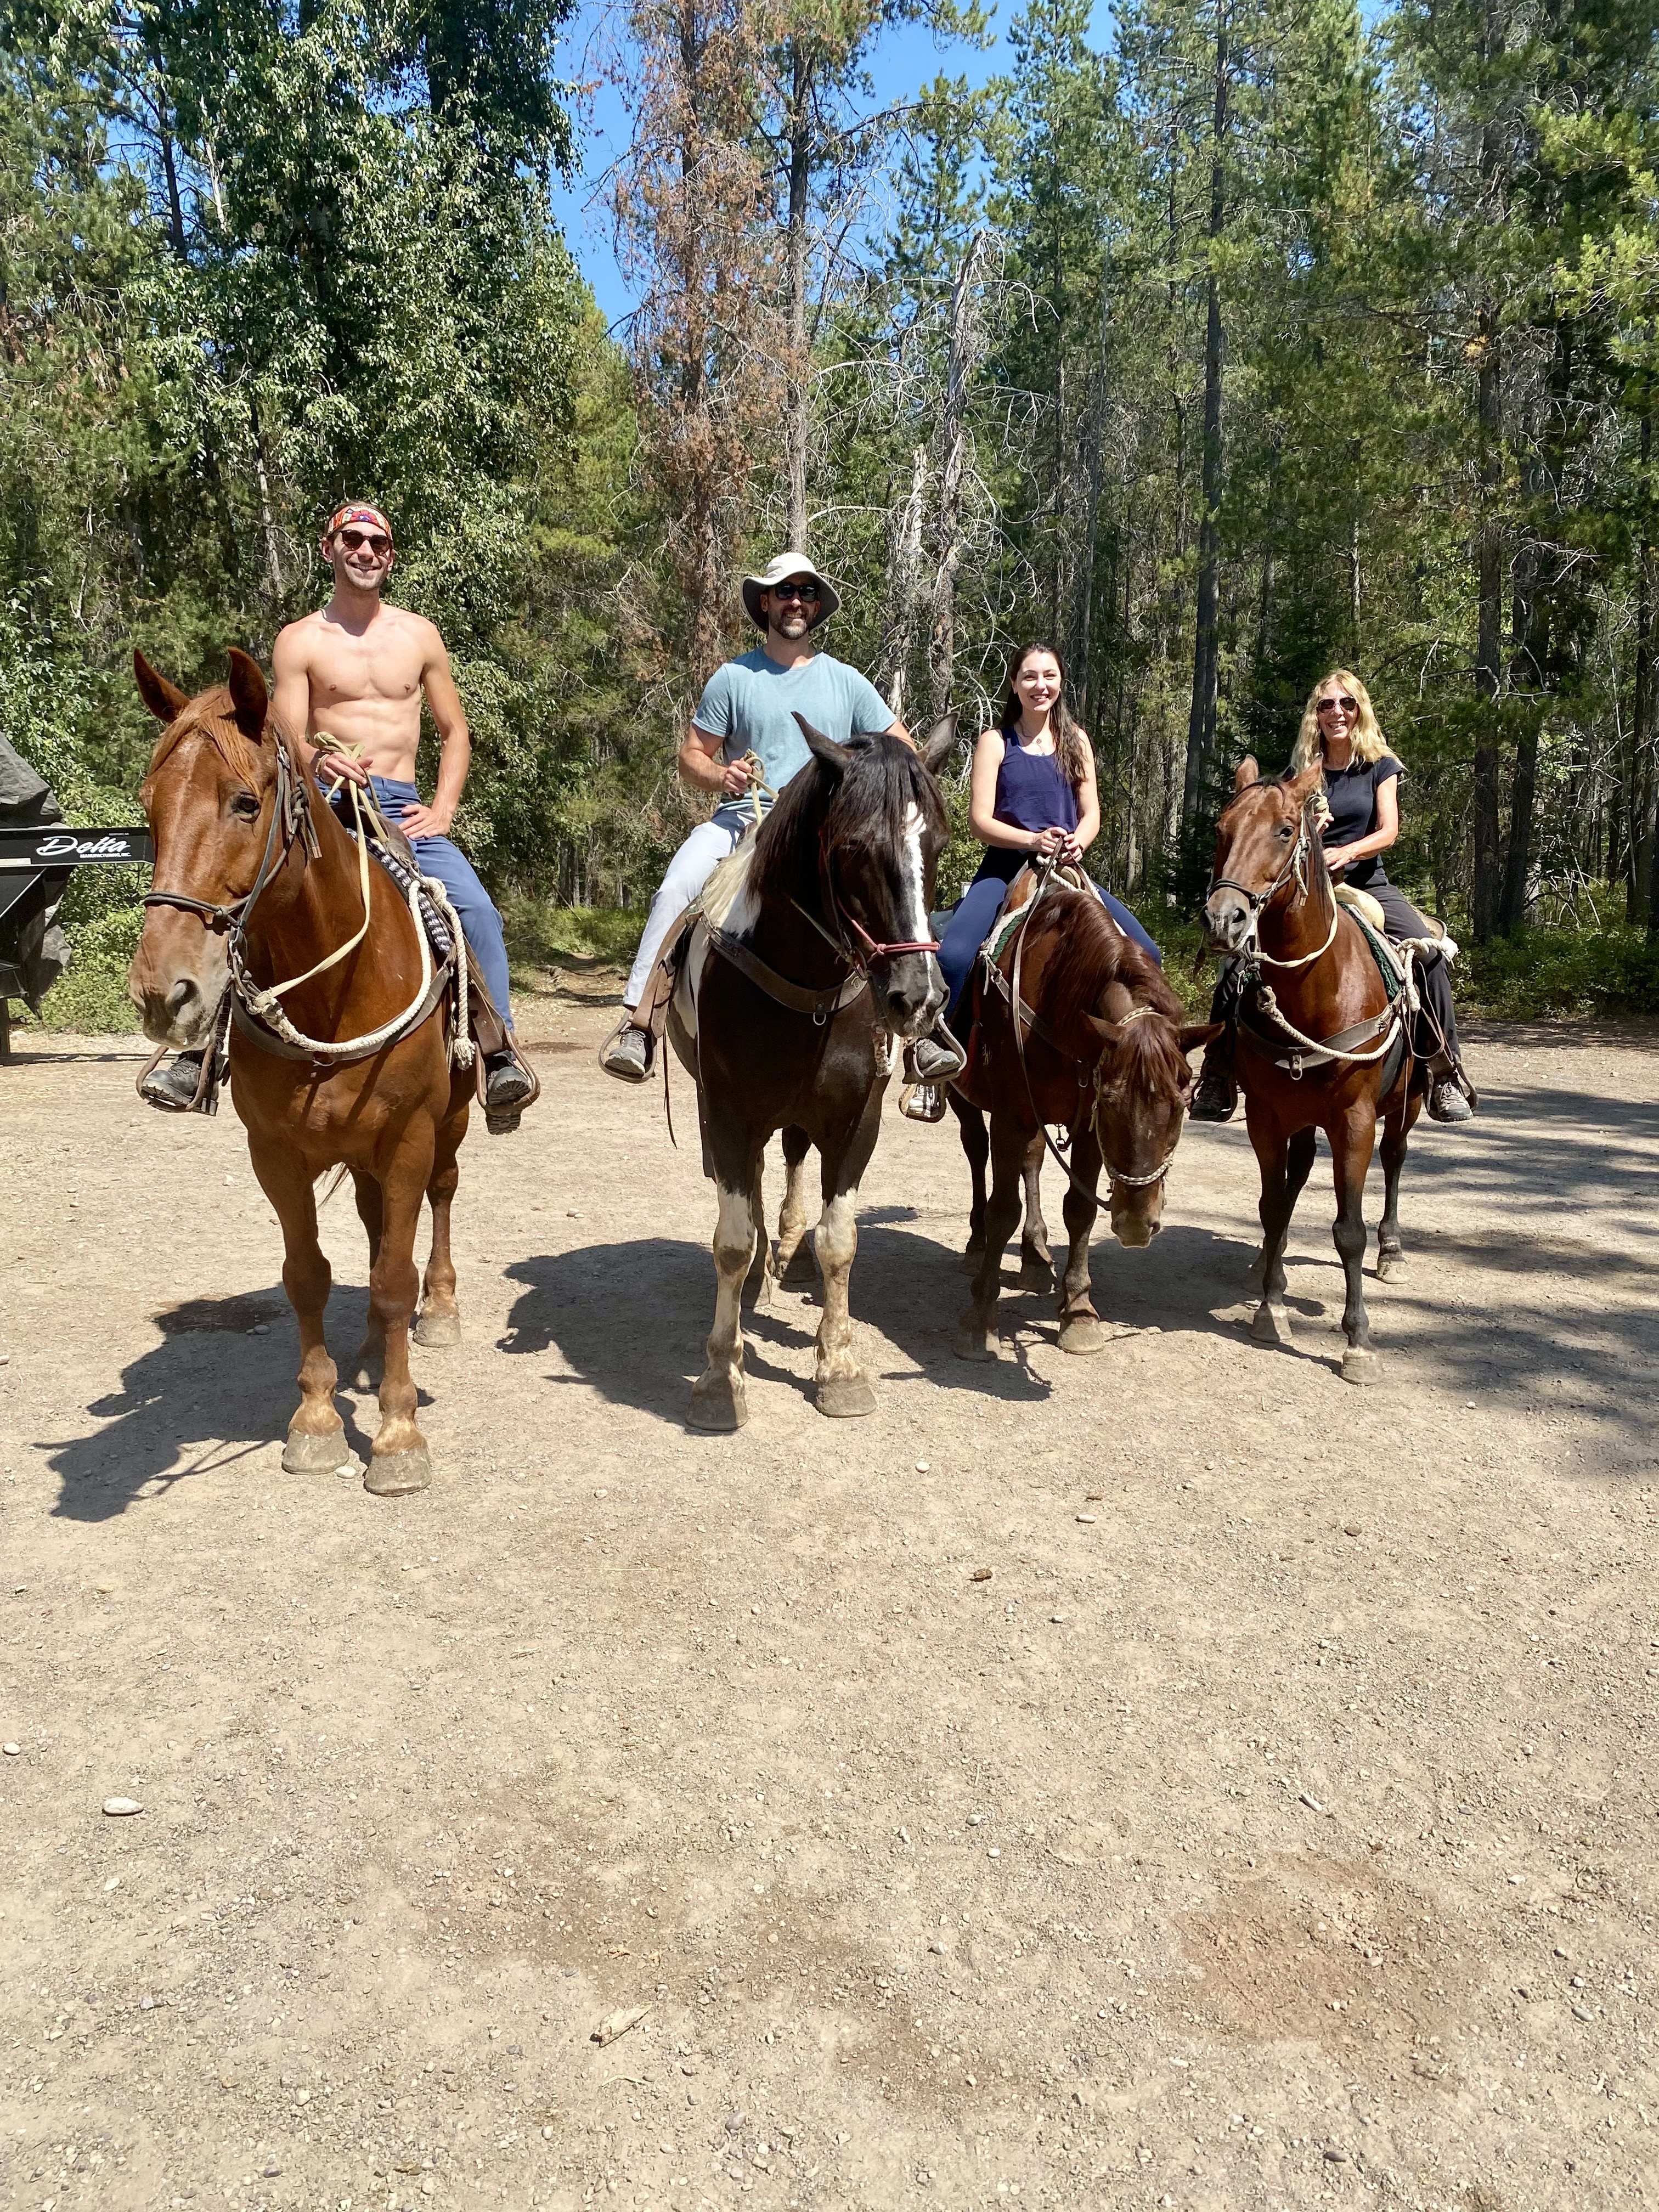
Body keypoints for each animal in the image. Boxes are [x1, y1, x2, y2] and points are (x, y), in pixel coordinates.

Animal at [128, 648, 474, 1494]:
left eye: (245, 803)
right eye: (149, 807)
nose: (162, 992)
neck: (333, 993)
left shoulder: (410, 1138)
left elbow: (392, 1278)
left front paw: (398, 1434)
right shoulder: (276, 1154)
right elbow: (308, 1275)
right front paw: (319, 1420)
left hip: (448, 1126)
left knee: (440, 1204)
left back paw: (439, 1312)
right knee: (376, 1226)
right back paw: (368, 1351)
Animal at [666, 714, 957, 1430]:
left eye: (936, 842)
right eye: (853, 846)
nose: (919, 998)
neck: (805, 988)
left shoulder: (857, 1121)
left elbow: (840, 1240)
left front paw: (840, 1364)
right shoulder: (729, 1112)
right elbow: (732, 1241)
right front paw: (721, 1376)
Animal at [947, 870, 1213, 1362]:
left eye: (1181, 1103)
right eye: (1110, 1100)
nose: (1136, 1226)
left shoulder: (1084, 1130)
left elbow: (1080, 1211)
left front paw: (1079, 1312)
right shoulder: (1010, 1115)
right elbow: (1002, 1210)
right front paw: (980, 1319)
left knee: (1032, 1162)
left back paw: (1035, 1257)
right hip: (967, 1101)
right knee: (976, 1155)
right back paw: (976, 1246)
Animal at [1203, 755, 1424, 1384]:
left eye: (1284, 831)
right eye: (1221, 830)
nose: (1225, 920)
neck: (1312, 990)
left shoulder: (1355, 1121)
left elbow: (1348, 1230)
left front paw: (1357, 1341)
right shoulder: (1268, 1117)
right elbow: (1273, 1205)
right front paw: (1269, 1306)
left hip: (1405, 1106)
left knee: (1395, 1162)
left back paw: (1392, 1251)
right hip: (1301, 1119)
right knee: (1296, 1179)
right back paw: (1265, 1264)